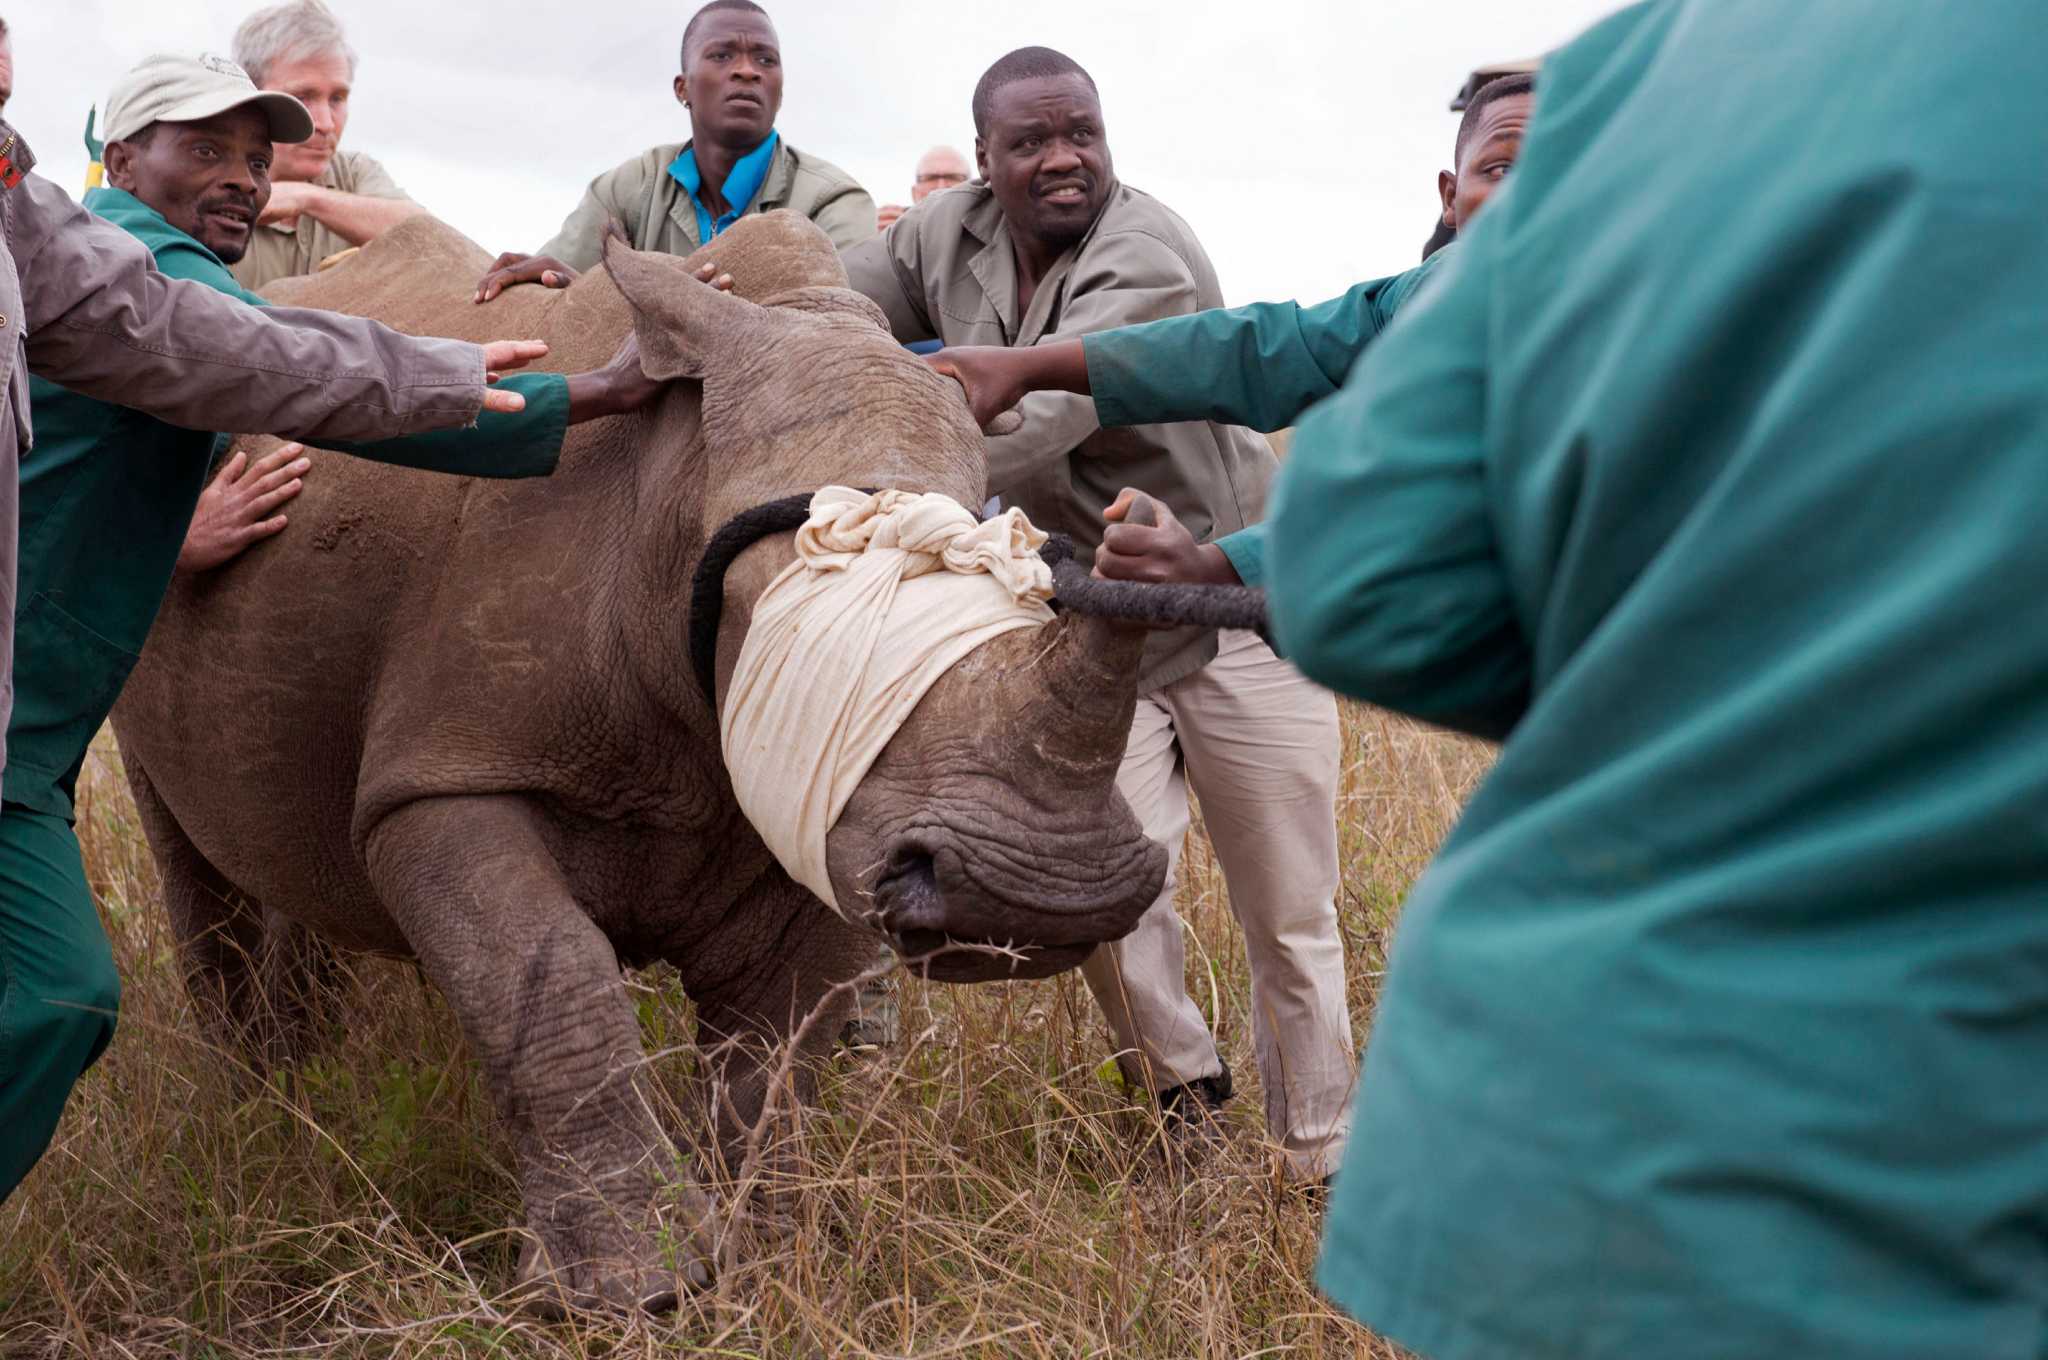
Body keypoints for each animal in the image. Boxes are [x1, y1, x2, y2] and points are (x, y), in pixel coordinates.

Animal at [109, 212, 1165, 1313]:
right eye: (779, 609)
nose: (1041, 896)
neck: (676, 492)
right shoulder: (449, 775)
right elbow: (547, 982)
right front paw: (624, 1294)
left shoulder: (829, 811)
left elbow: (778, 1050)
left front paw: (776, 1266)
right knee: (194, 860)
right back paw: (259, 1117)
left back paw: (307, 1091)